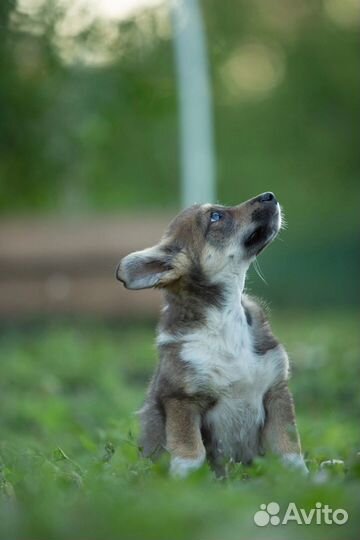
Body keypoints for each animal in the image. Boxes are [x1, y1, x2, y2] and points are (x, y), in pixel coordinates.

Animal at [116, 191, 308, 476]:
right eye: (215, 216)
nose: (270, 195)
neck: (226, 320)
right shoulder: (182, 400)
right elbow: (191, 452)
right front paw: (185, 482)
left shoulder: (276, 392)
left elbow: (289, 450)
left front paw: (306, 479)